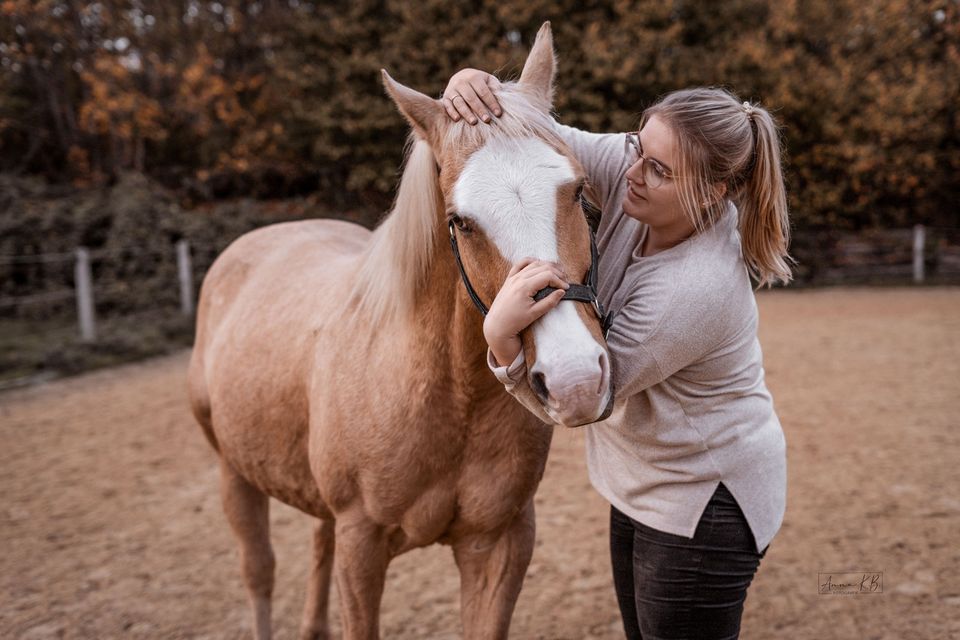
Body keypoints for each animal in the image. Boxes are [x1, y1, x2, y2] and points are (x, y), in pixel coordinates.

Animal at [185, 23, 612, 640]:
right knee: (258, 571)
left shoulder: (500, 542)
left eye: (578, 191)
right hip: (233, 472)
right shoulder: (362, 546)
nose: (575, 379)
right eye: (460, 222)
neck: (446, 393)